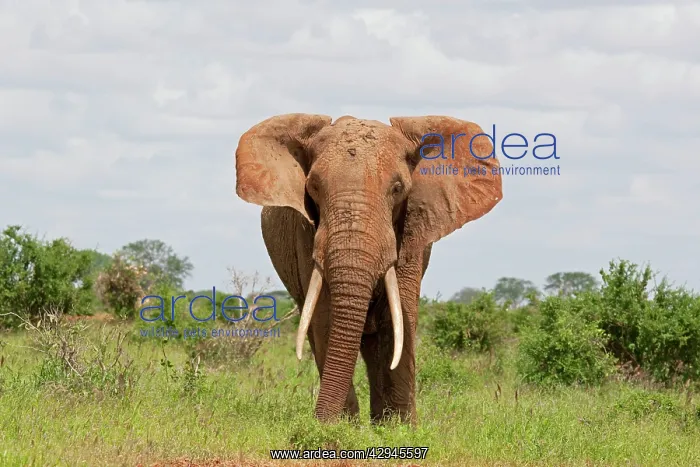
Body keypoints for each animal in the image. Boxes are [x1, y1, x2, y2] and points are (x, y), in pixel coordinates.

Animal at [234, 114, 502, 424]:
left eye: (398, 189)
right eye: (313, 188)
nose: (317, 421)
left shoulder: (410, 230)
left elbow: (397, 322)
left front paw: (398, 430)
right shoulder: (307, 236)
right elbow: (325, 320)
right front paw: (338, 429)